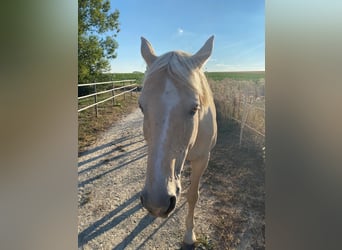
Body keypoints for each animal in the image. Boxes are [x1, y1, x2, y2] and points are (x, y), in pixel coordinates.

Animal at [138, 36, 216, 247]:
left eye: (195, 108)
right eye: (141, 107)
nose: (156, 204)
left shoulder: (202, 160)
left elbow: (193, 196)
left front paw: (189, 235)